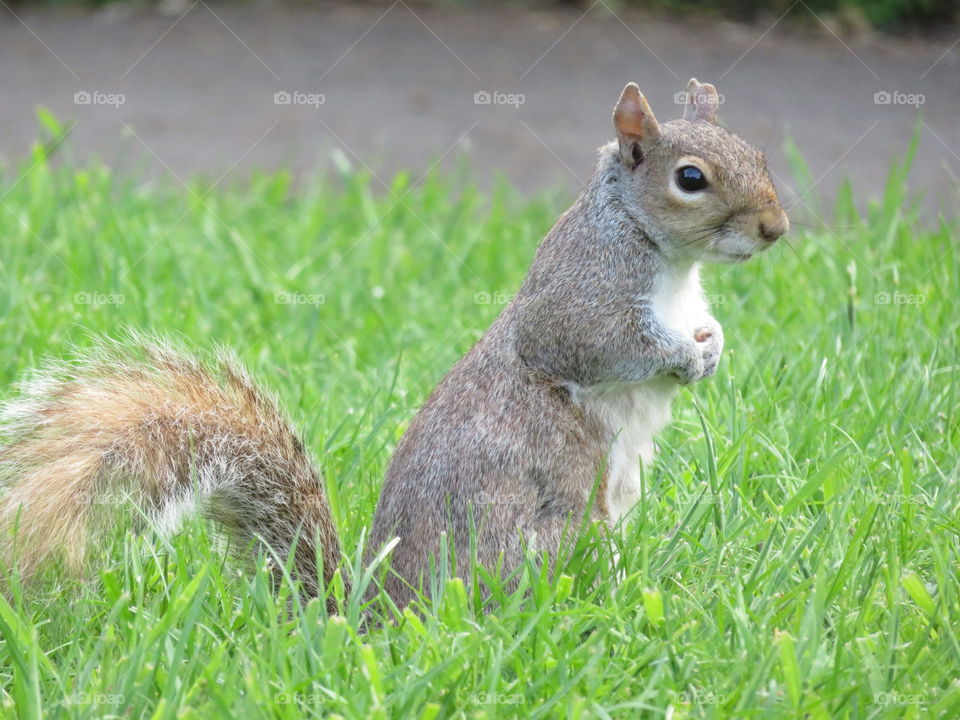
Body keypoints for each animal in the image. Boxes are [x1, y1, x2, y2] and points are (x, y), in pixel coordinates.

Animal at [0, 79, 787, 611]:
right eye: (691, 178)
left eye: (759, 152)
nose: (775, 229)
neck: (670, 263)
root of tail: (375, 616)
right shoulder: (583, 297)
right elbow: (592, 345)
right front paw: (683, 357)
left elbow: (705, 328)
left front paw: (712, 348)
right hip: (549, 537)